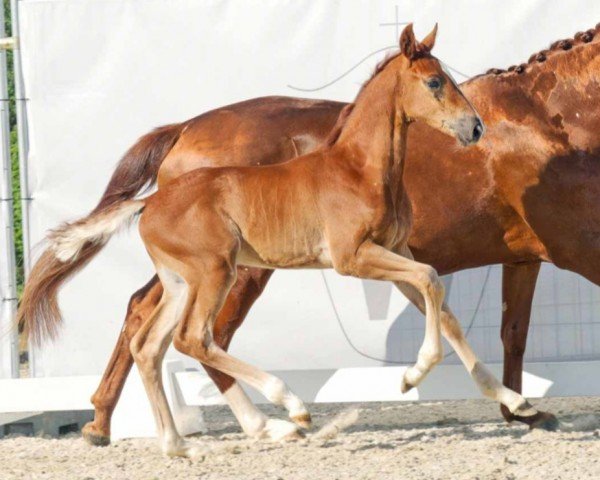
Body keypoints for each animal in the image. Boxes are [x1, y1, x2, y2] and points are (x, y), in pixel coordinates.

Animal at [21, 23, 600, 446]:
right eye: (436, 83)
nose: (473, 129)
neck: (546, 117)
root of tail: (183, 130)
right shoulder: (572, 246)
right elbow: (450, 299)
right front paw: (425, 380)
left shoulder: (512, 256)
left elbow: (500, 330)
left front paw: (518, 406)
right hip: (233, 272)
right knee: (199, 336)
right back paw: (275, 419)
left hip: (198, 273)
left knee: (148, 318)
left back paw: (115, 424)